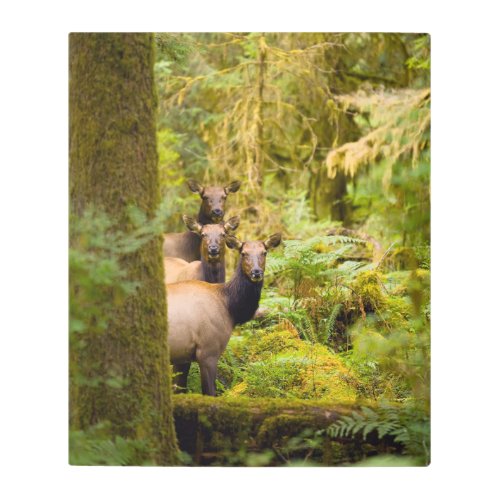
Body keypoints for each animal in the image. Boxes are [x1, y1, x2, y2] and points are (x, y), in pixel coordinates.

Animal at [165, 232, 280, 396]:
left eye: (264, 252)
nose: (256, 272)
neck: (230, 308)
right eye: (243, 253)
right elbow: (210, 393)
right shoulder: (208, 351)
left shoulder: (183, 356)